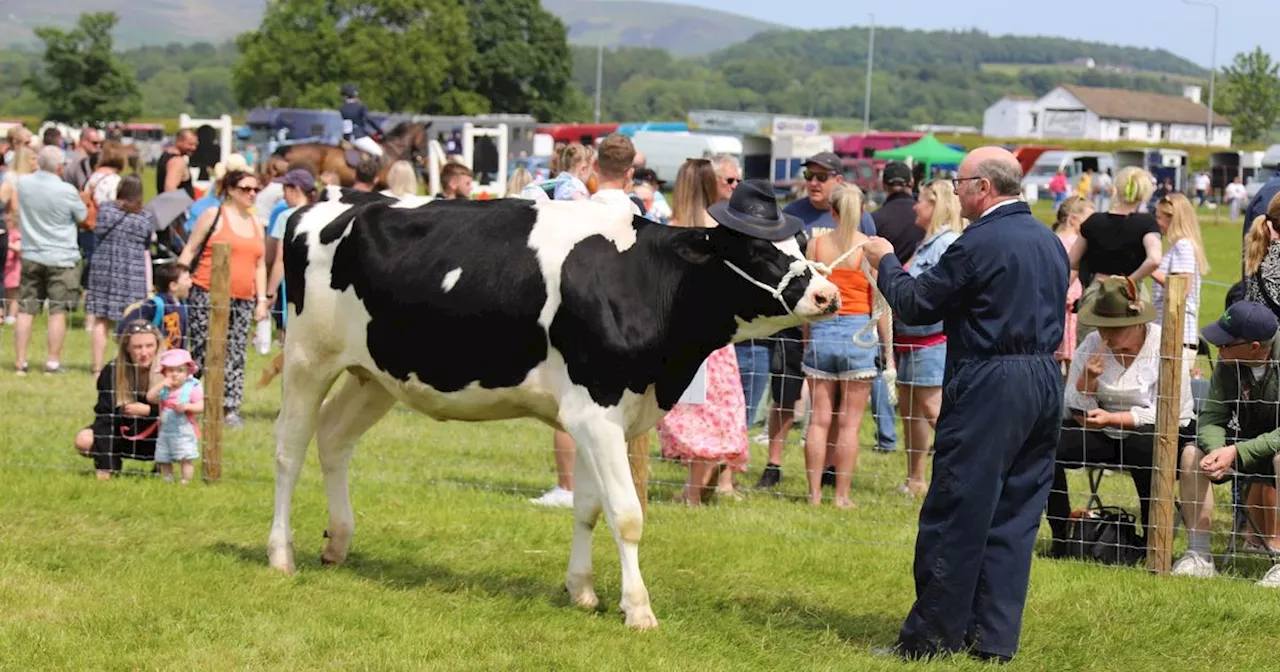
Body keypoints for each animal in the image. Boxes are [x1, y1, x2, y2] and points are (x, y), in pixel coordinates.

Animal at [270, 188, 839, 629]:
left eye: (799, 244)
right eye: (757, 251)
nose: (829, 294)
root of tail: (328, 203)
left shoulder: (598, 416)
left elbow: (588, 508)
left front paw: (582, 590)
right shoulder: (597, 413)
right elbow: (626, 515)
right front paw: (638, 609)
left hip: (374, 375)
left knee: (334, 439)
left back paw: (337, 542)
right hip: (306, 358)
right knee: (289, 450)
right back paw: (281, 555)